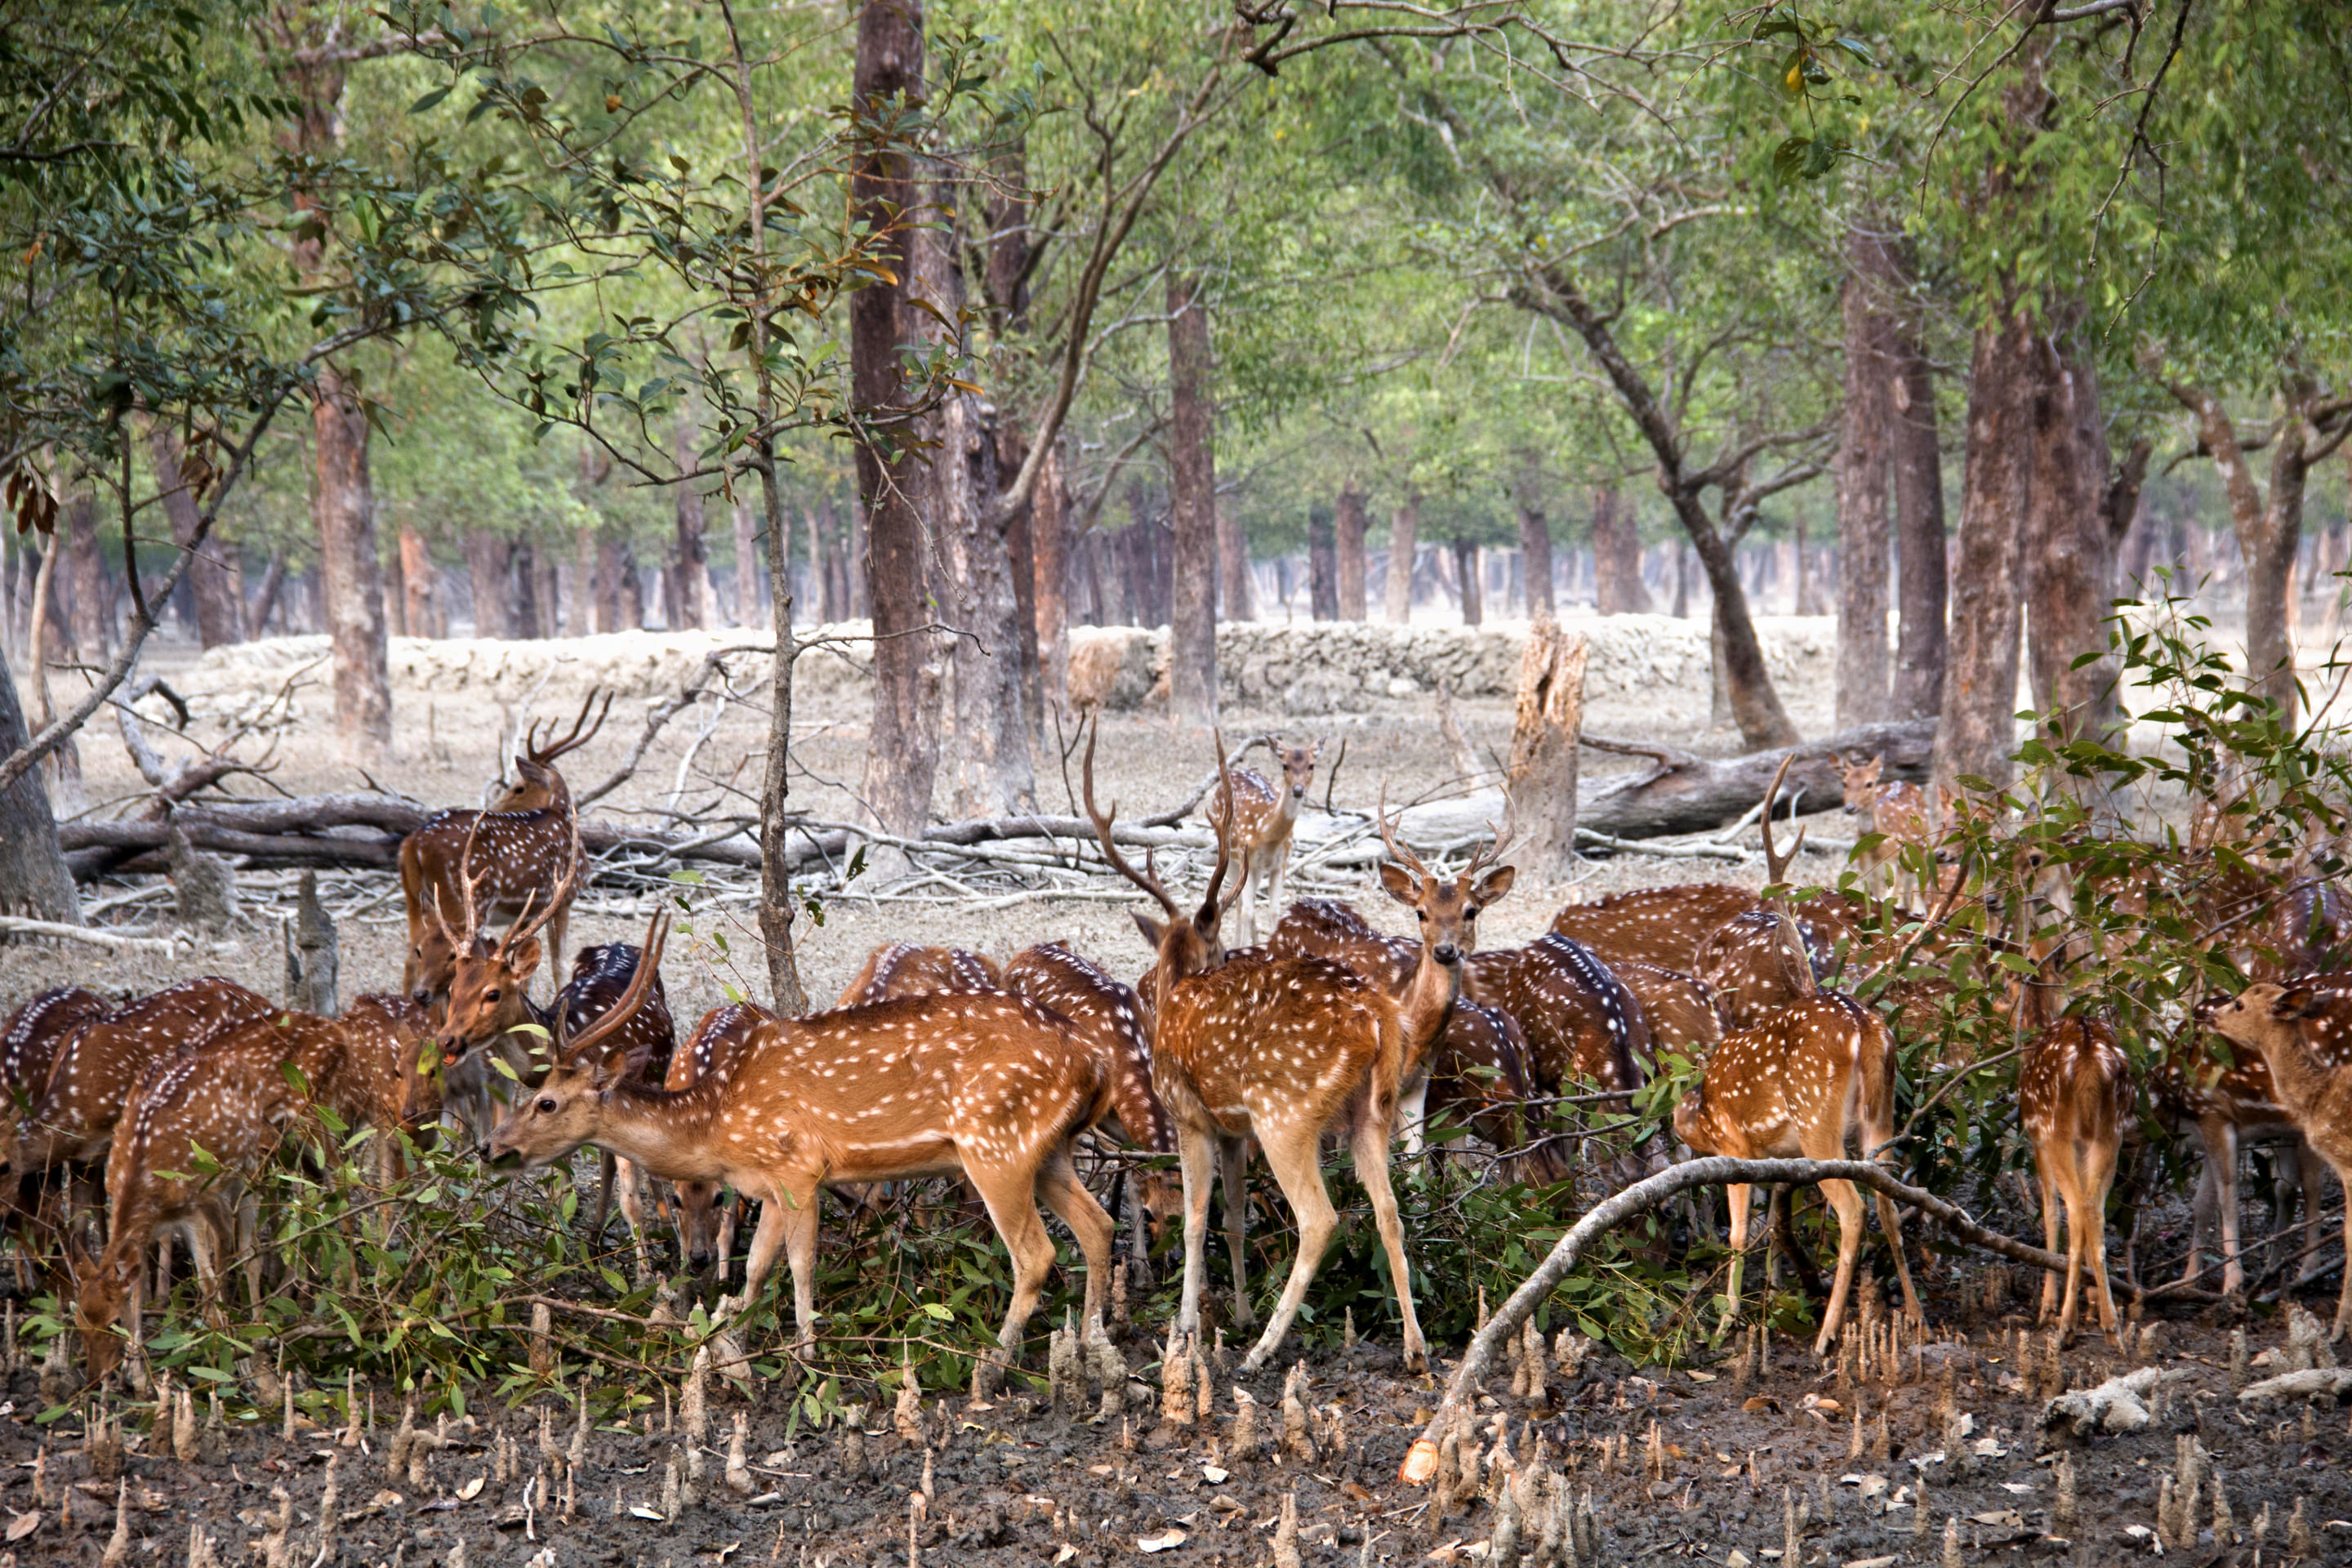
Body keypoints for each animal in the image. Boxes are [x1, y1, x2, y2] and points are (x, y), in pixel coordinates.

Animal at [394, 691, 602, 1006]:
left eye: (518, 787)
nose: (491, 806)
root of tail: (412, 844)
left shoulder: (531, 910)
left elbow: (525, 969)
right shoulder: (565, 900)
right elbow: (558, 965)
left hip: (414, 896)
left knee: (411, 957)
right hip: (465, 900)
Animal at [482, 911, 1115, 1354]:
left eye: (545, 1102)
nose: (490, 1147)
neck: (718, 1124)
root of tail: (1093, 1063)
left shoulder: (798, 1166)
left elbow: (799, 1264)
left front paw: (806, 1352)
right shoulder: (766, 1183)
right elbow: (758, 1265)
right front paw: (732, 1342)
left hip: (995, 1144)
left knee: (1037, 1252)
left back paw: (996, 1361)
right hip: (1050, 1149)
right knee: (1098, 1226)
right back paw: (1090, 1343)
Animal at [1214, 737, 1326, 945]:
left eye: (1311, 765)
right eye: (1285, 765)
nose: (1298, 790)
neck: (1266, 834)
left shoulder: (1280, 864)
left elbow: (1274, 911)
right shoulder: (1246, 858)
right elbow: (1247, 912)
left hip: (1256, 869)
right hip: (1231, 856)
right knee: (1240, 904)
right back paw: (1237, 945)